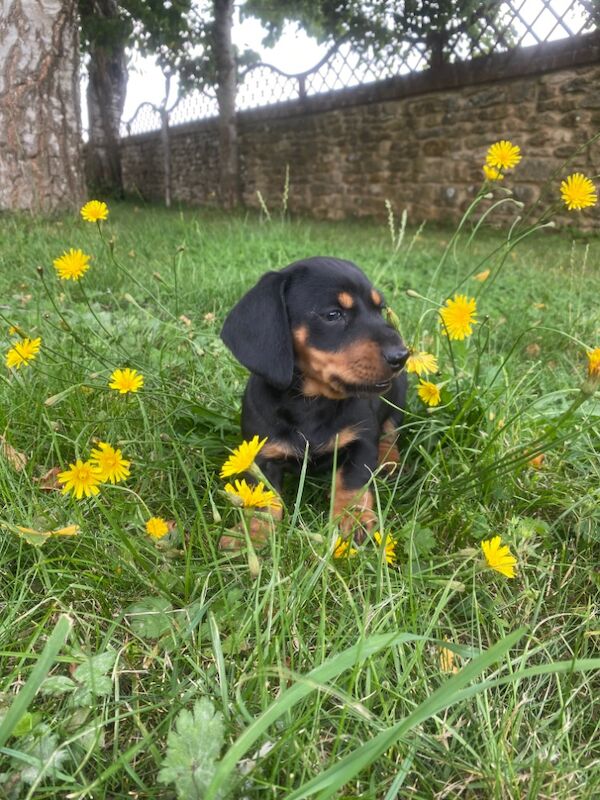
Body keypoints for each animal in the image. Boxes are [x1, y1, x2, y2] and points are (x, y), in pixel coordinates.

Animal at [223, 260, 410, 548]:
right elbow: (263, 497)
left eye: (380, 310)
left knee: (391, 431)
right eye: (333, 315)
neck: (312, 402)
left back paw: (389, 461)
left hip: (397, 396)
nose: (402, 356)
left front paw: (354, 519)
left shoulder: (361, 441)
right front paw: (252, 534)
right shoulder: (262, 453)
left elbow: (352, 482)